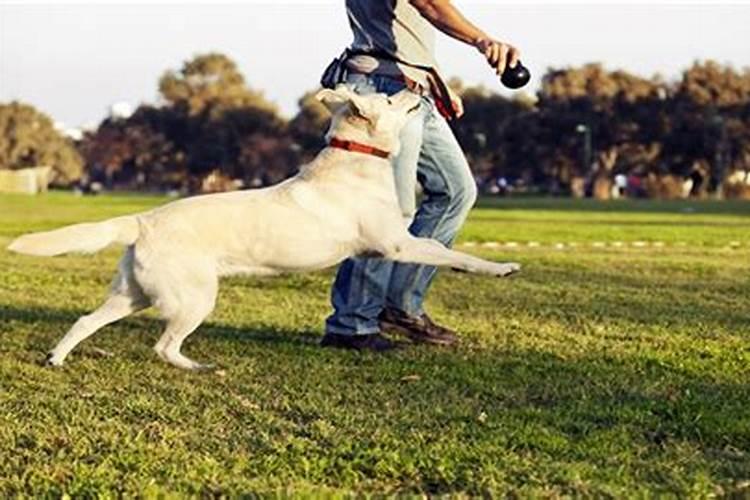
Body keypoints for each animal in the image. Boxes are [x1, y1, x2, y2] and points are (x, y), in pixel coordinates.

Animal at [7, 85, 524, 372]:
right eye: (389, 96)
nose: (420, 89)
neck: (355, 160)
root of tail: (143, 219)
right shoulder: (398, 244)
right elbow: (452, 252)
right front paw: (500, 267)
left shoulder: (381, 249)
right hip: (194, 298)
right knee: (163, 345)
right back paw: (196, 366)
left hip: (132, 294)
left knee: (86, 320)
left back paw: (56, 358)